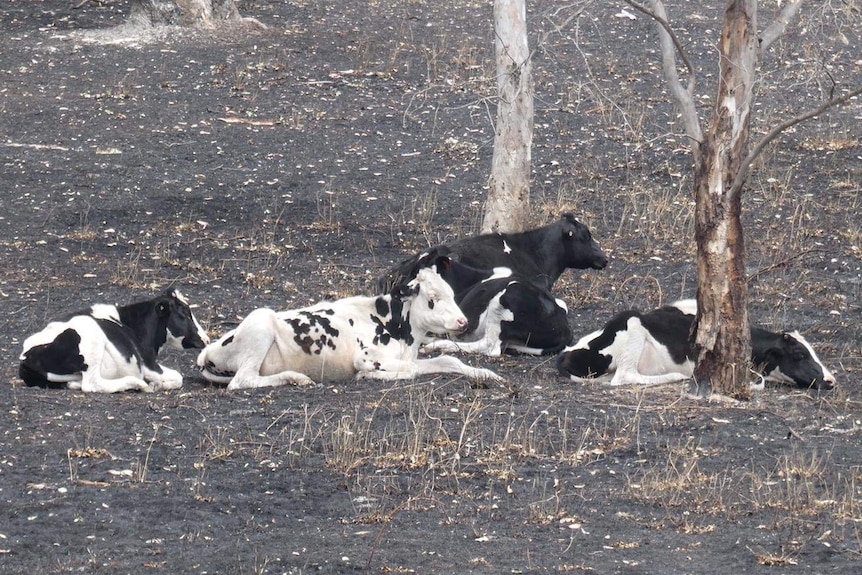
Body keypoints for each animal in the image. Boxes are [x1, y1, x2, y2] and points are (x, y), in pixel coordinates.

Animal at [19, 288, 211, 396]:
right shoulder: (147, 363)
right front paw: (156, 385)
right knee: (92, 384)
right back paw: (138, 384)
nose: (206, 339)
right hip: (91, 339)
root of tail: (26, 356)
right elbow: (178, 377)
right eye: (184, 314)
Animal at [197, 255, 502, 392]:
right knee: (242, 380)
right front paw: (368, 376)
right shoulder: (366, 357)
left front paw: (487, 374)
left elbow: (448, 361)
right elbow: (411, 371)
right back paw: (295, 377)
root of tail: (208, 350)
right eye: (432, 298)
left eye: (451, 293)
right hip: (260, 325)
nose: (463, 322)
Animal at [560, 302, 836, 392]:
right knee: (625, 376)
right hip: (632, 322)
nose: (831, 380)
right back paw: (674, 376)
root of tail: (566, 354)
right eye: (799, 354)